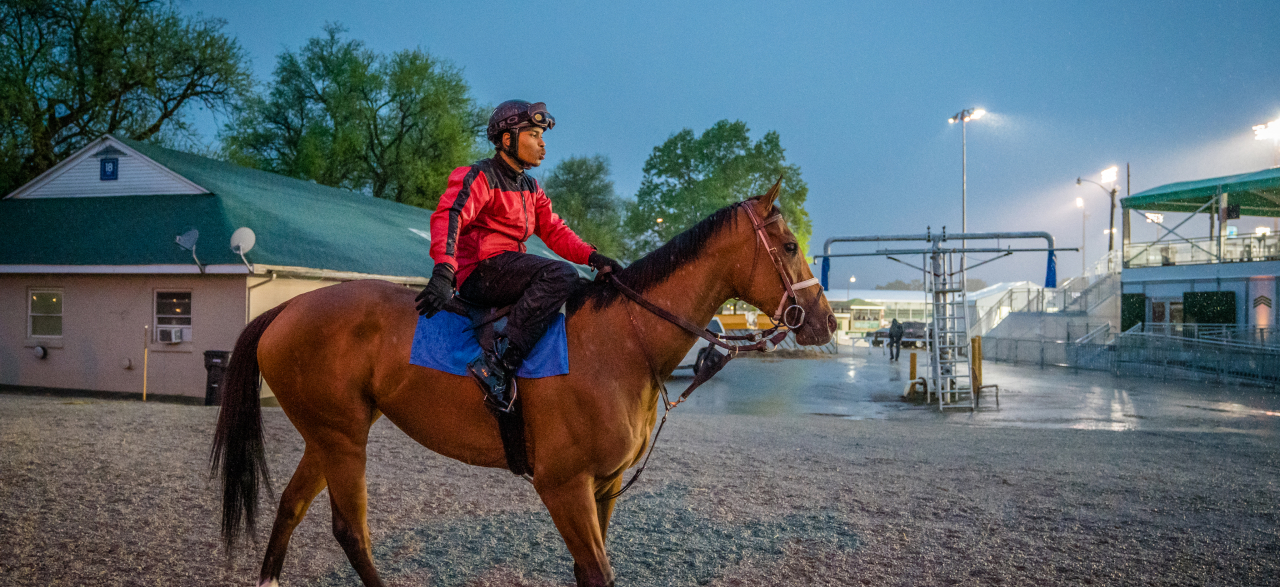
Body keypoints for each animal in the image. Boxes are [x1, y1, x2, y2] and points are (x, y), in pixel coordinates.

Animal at [212, 185, 829, 587]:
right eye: (790, 246)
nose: (822, 319)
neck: (620, 341)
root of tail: (288, 307)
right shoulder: (563, 486)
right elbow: (597, 572)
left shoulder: (603, 487)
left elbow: (589, 572)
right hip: (342, 440)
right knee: (351, 532)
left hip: (330, 435)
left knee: (291, 507)